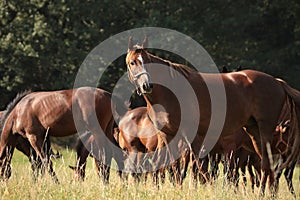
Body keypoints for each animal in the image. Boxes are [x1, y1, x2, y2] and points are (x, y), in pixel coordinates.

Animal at [124, 36, 300, 195]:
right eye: (132, 62)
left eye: (147, 61)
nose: (147, 85)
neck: (172, 92)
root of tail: (277, 82)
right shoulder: (168, 136)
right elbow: (176, 167)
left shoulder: (194, 137)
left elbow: (199, 168)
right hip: (254, 131)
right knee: (267, 166)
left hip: (265, 130)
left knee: (266, 166)